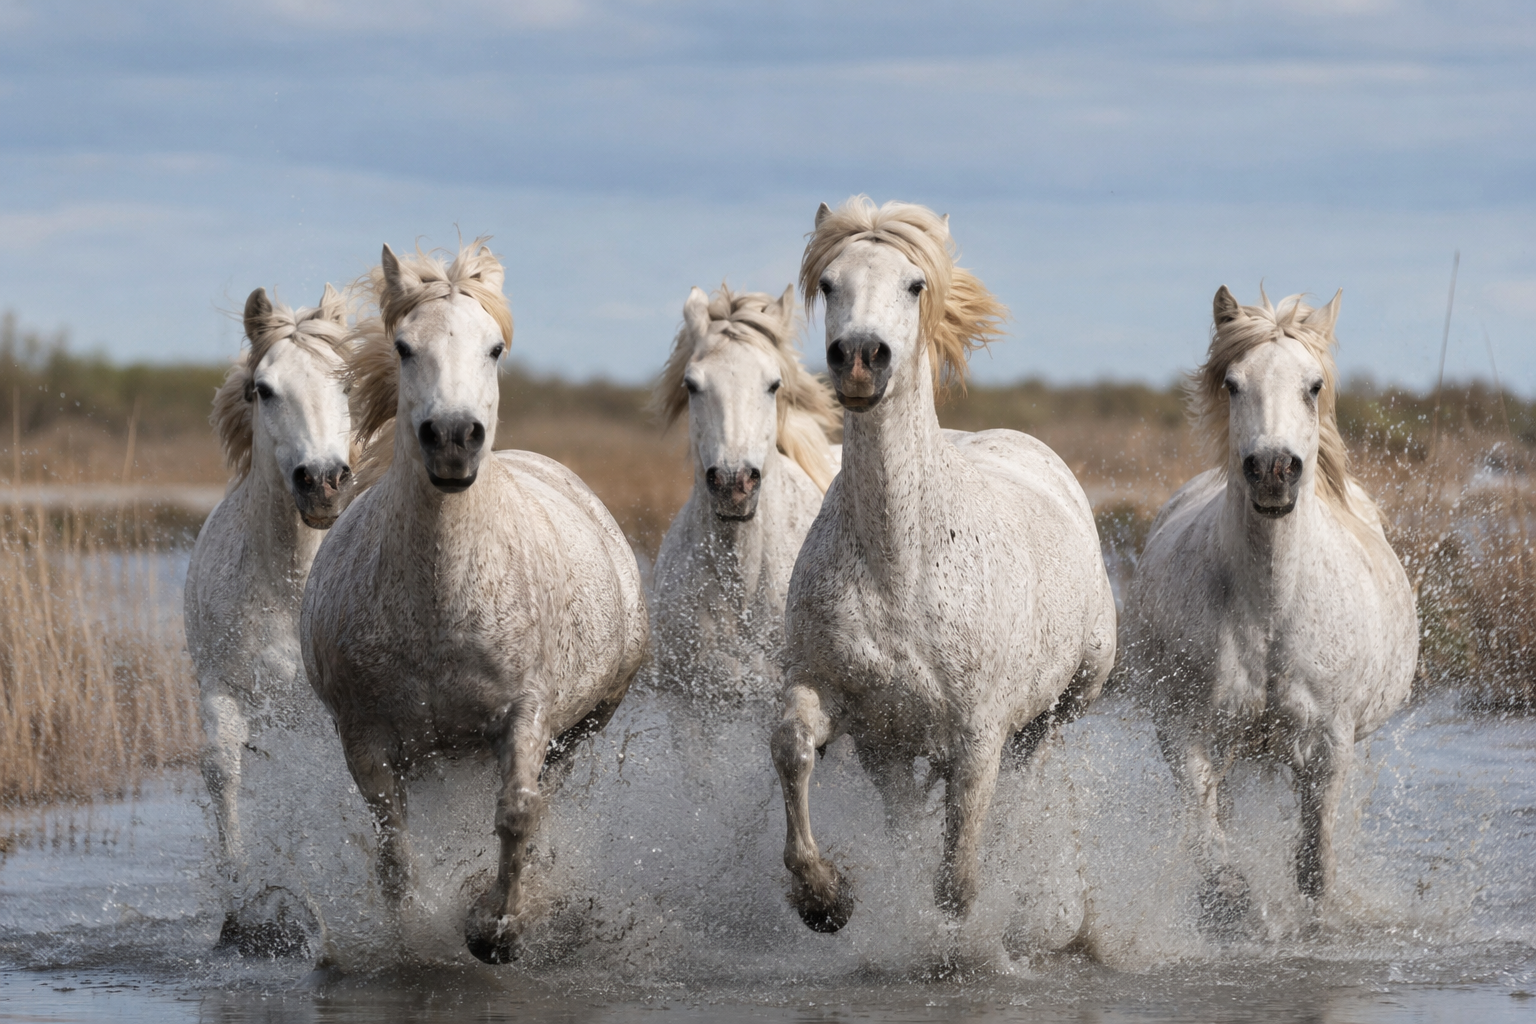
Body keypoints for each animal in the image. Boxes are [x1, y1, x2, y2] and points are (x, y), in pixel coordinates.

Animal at [183, 284, 353, 947]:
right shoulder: (223, 690)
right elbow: (223, 775)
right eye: (263, 388)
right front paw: (242, 914)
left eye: (347, 383)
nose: (323, 482)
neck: (288, 590)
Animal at [299, 240, 649, 964]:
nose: (455, 438)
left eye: (494, 348)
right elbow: (394, 851)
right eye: (404, 346)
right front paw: (414, 934)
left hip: (581, 728)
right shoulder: (366, 738)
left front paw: (496, 929)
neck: (439, 605)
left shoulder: (525, 714)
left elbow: (516, 814)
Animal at [771, 198, 1117, 933]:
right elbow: (792, 746)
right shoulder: (853, 711)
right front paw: (824, 897)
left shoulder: (978, 736)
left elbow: (957, 880)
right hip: (899, 751)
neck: (900, 568)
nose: (860, 359)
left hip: (1062, 705)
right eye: (829, 284)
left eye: (914, 284)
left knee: (1028, 783)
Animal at [1120, 286, 1417, 923]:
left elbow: (1313, 865)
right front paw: (1230, 902)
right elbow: (1210, 836)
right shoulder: (1186, 731)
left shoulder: (1328, 747)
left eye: (1314, 385)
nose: (1273, 471)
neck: (1271, 609)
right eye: (1233, 383)